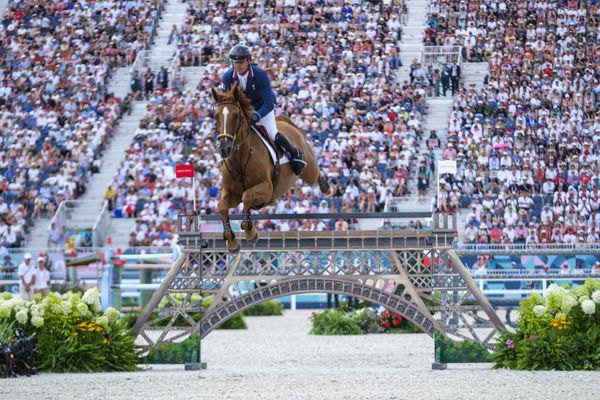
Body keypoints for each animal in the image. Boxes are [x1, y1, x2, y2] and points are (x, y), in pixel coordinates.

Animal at [211, 86, 332, 252]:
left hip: (309, 171)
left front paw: (250, 233)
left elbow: (247, 196)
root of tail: (286, 122)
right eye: (216, 116)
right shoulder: (231, 193)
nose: (225, 149)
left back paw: (327, 187)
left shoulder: (266, 189)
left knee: (315, 172)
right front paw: (231, 241)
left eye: (236, 116)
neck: (241, 159)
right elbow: (222, 206)